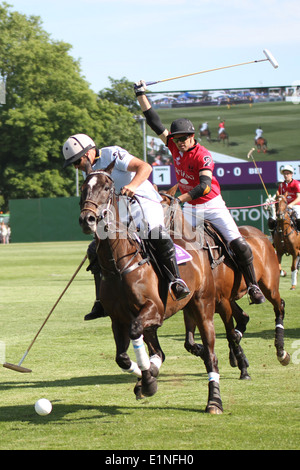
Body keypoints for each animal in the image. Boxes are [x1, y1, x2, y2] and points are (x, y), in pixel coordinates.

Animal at [78, 163, 224, 414]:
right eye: (83, 188)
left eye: (107, 188)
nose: (87, 219)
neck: (119, 265)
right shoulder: (118, 319)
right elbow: (122, 357)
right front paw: (146, 379)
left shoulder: (153, 309)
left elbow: (136, 334)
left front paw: (147, 380)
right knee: (158, 351)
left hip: (203, 306)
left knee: (211, 356)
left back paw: (214, 401)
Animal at [162, 185, 290, 376]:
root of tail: (260, 234)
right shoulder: (194, 302)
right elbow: (189, 343)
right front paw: (210, 354)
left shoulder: (220, 300)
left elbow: (228, 333)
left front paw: (243, 368)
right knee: (243, 318)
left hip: (269, 285)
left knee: (279, 306)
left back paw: (281, 352)